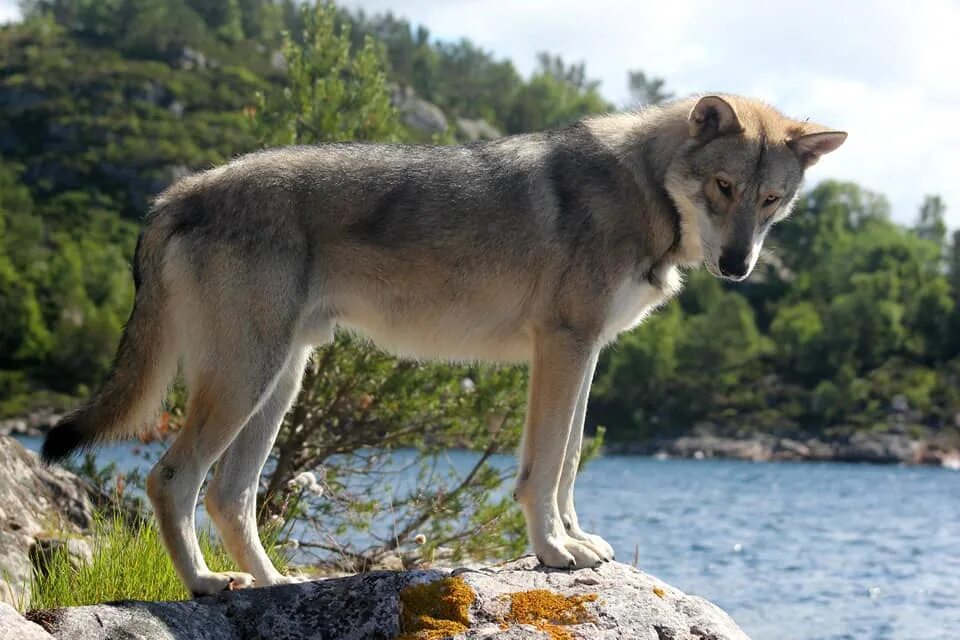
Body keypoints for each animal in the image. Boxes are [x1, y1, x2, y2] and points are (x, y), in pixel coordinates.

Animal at [41, 94, 844, 596]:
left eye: (770, 201)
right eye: (722, 187)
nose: (737, 266)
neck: (645, 185)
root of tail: (175, 194)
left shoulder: (586, 355)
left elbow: (567, 466)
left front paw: (579, 543)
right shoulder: (564, 348)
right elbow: (543, 471)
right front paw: (554, 554)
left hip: (279, 381)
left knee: (230, 496)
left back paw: (274, 587)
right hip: (247, 378)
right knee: (172, 481)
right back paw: (207, 586)